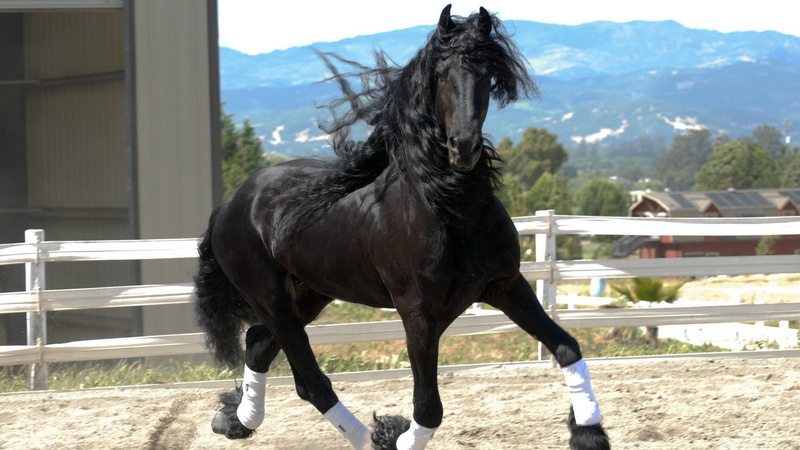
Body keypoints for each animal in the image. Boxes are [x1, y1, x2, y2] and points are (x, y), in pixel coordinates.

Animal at [193, 5, 610, 449]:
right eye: (441, 74)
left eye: (487, 74)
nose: (463, 148)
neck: (451, 209)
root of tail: (230, 204)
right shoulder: (418, 314)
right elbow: (428, 407)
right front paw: (394, 433)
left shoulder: (506, 286)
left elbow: (566, 347)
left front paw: (589, 432)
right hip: (270, 297)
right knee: (311, 381)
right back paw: (369, 436)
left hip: (309, 293)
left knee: (258, 345)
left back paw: (234, 420)